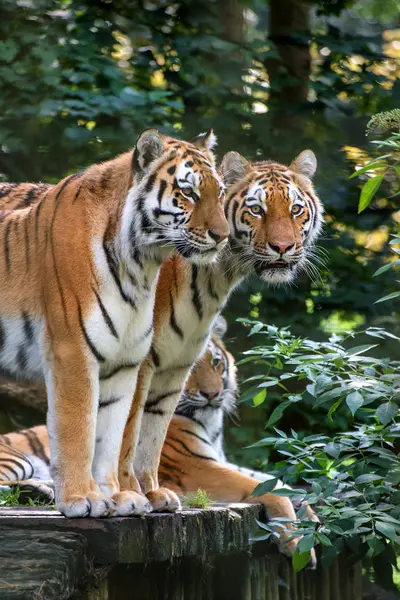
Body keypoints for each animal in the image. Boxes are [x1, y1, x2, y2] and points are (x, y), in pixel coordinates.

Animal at [0, 129, 228, 516]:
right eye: (189, 193)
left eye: (220, 192)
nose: (223, 235)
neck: (141, 264)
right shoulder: (73, 352)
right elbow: (79, 429)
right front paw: (82, 498)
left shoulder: (123, 362)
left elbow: (110, 436)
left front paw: (117, 497)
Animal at [0, 324, 318, 556]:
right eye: (191, 368)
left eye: (216, 363)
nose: (212, 394)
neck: (209, 423)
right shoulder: (195, 466)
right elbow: (265, 488)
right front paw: (295, 542)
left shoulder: (216, 458)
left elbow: (277, 481)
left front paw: (311, 517)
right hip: (19, 459)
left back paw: (45, 490)